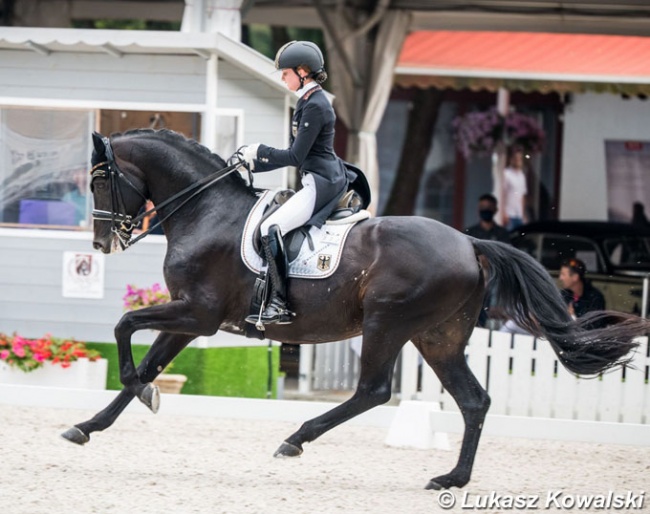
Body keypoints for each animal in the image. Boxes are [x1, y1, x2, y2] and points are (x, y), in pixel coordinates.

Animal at [62, 128, 644, 488]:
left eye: (98, 179)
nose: (101, 244)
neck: (206, 211)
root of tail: (470, 243)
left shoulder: (197, 315)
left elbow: (124, 328)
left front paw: (144, 394)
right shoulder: (189, 318)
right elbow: (147, 361)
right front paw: (90, 424)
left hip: (388, 324)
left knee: (374, 391)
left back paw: (295, 439)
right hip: (438, 337)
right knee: (473, 401)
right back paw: (452, 478)